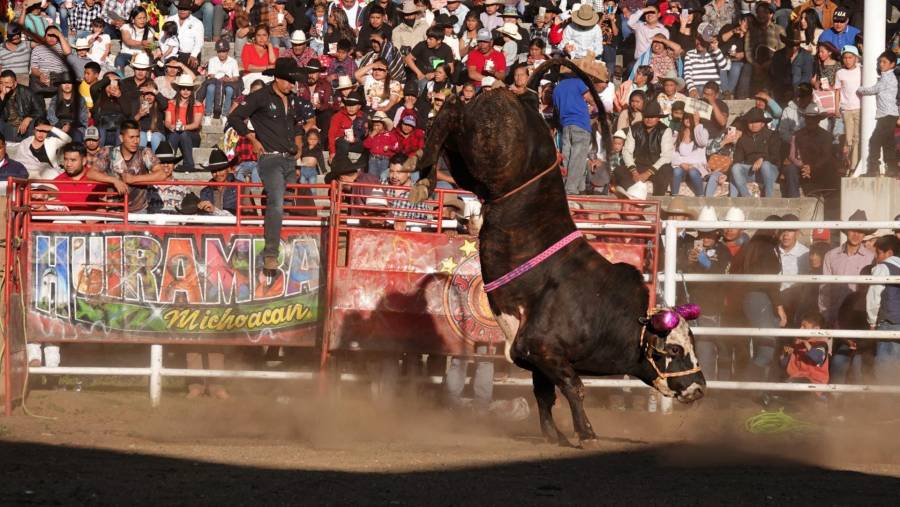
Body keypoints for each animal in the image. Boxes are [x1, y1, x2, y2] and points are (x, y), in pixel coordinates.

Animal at [412, 59, 708, 448]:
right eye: (674, 349)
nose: (699, 388)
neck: (609, 312)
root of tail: (525, 99)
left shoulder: (538, 360)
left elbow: (545, 396)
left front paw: (554, 434)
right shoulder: (543, 350)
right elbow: (574, 388)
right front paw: (585, 433)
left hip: (469, 166)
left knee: (452, 121)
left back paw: (426, 176)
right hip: (486, 152)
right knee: (451, 110)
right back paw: (423, 174)